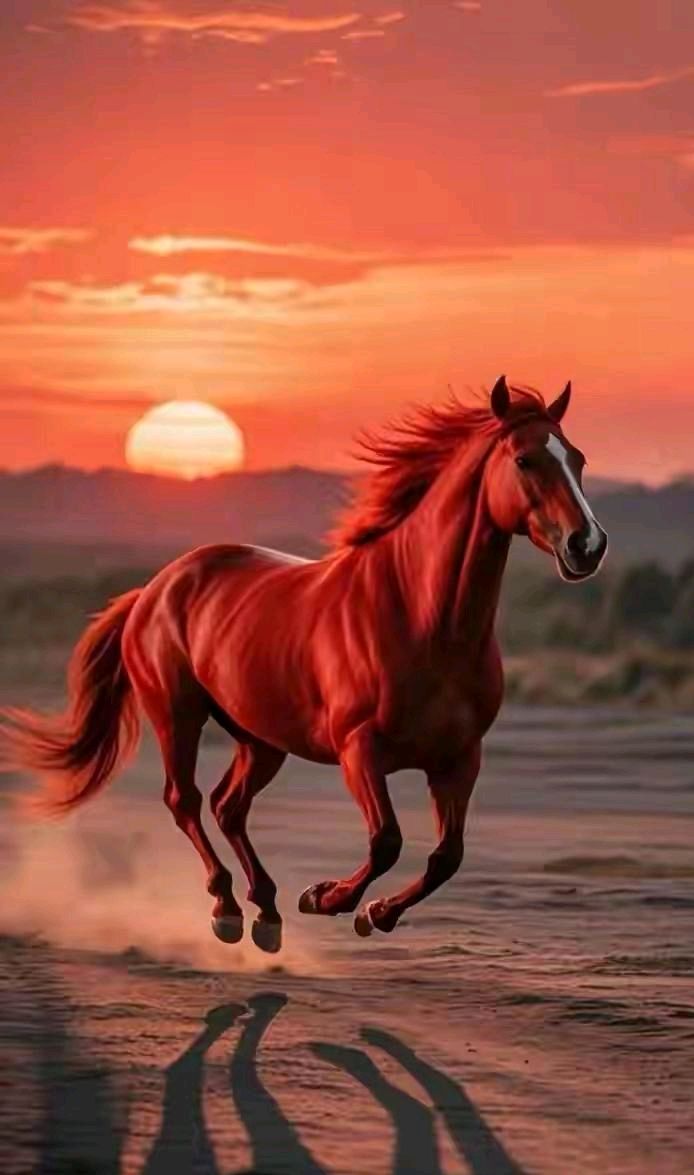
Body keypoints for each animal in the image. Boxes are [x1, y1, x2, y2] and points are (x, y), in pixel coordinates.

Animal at [1, 376, 607, 954]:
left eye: (578, 458)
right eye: (525, 459)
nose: (588, 545)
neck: (421, 616)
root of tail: (155, 588)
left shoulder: (459, 758)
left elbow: (447, 856)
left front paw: (374, 913)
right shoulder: (359, 750)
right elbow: (387, 841)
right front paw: (326, 898)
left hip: (261, 738)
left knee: (228, 807)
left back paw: (266, 914)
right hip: (178, 715)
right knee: (186, 801)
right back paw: (227, 909)